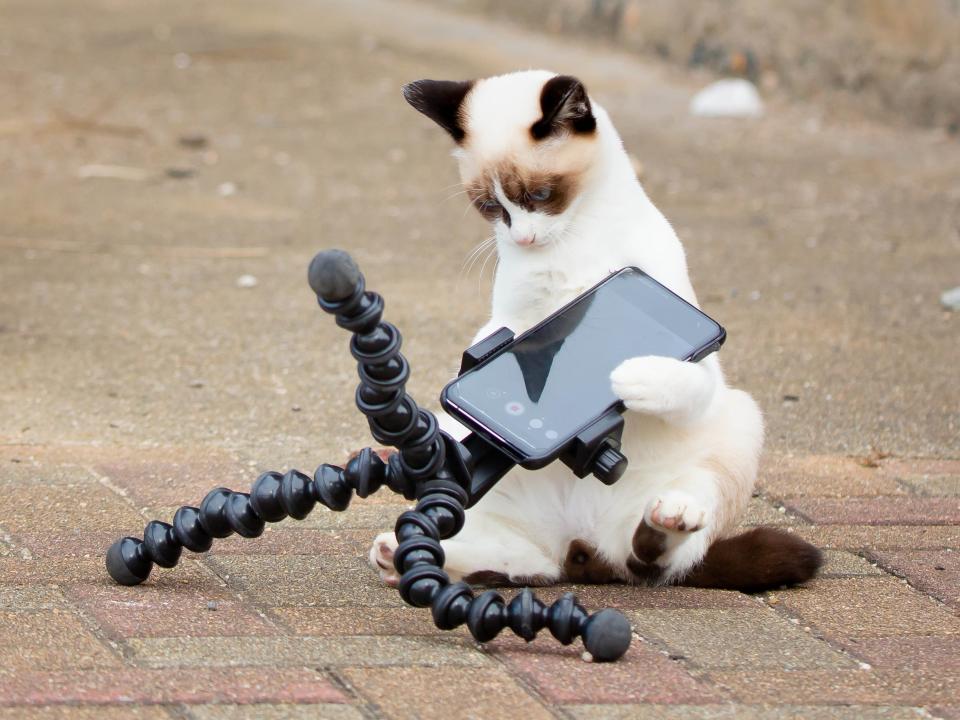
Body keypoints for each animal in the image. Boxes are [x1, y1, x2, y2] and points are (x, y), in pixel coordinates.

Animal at [368, 70, 816, 592]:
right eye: (490, 207)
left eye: (542, 196)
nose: (522, 237)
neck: (570, 240)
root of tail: (585, 546)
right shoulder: (512, 326)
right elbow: (488, 352)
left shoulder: (696, 351)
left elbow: (676, 378)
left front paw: (625, 377)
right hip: (512, 522)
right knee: (531, 564)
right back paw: (400, 550)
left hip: (739, 420)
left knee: (653, 558)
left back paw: (669, 517)